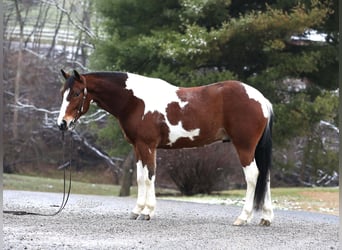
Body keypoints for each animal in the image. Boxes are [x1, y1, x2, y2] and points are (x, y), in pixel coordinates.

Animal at [56, 69, 276, 226]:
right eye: (62, 93)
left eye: (76, 93)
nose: (62, 124)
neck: (134, 101)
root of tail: (262, 99)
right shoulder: (138, 147)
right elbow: (140, 177)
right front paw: (137, 211)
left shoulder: (148, 146)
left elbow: (149, 176)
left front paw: (147, 212)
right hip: (255, 148)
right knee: (265, 176)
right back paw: (266, 218)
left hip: (244, 147)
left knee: (253, 176)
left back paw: (243, 218)